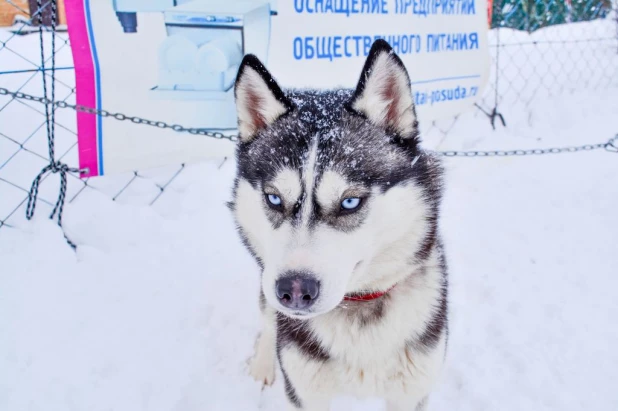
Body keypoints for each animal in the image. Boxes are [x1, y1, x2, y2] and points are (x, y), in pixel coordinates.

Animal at [229, 39, 446, 411]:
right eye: (274, 199)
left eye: (349, 202)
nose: (294, 291)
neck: (358, 306)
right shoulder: (304, 391)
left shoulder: (412, 392)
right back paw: (262, 363)